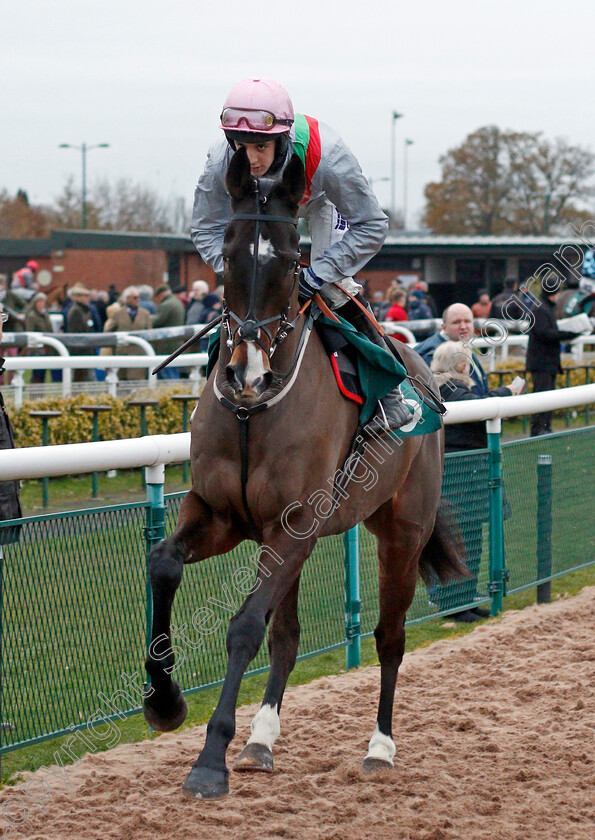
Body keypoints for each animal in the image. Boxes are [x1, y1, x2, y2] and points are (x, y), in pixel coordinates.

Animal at [143, 149, 466, 800]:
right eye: (229, 251)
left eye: (293, 261)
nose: (246, 373)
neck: (254, 414)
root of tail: (422, 370)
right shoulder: (222, 515)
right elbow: (164, 564)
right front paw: (164, 701)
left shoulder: (294, 525)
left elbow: (244, 625)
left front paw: (209, 759)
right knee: (288, 637)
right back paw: (261, 740)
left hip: (401, 532)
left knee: (390, 637)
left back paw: (379, 749)